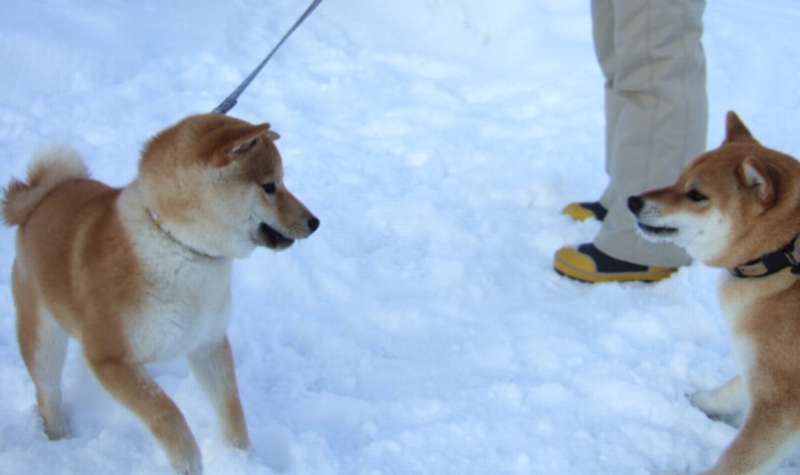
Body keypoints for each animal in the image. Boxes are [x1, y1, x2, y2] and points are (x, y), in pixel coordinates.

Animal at [3, 113, 322, 474]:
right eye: (270, 186)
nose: (315, 222)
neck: (180, 246)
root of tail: (42, 196)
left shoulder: (209, 345)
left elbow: (230, 407)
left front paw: (241, 460)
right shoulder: (107, 357)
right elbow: (164, 411)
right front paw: (189, 462)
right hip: (43, 336)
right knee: (47, 393)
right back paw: (59, 439)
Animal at [632, 110, 800, 472]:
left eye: (696, 195)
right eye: (679, 178)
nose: (632, 201)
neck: (783, 255)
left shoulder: (782, 401)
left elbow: (735, 459)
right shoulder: (760, 363)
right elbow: (732, 388)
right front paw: (701, 402)